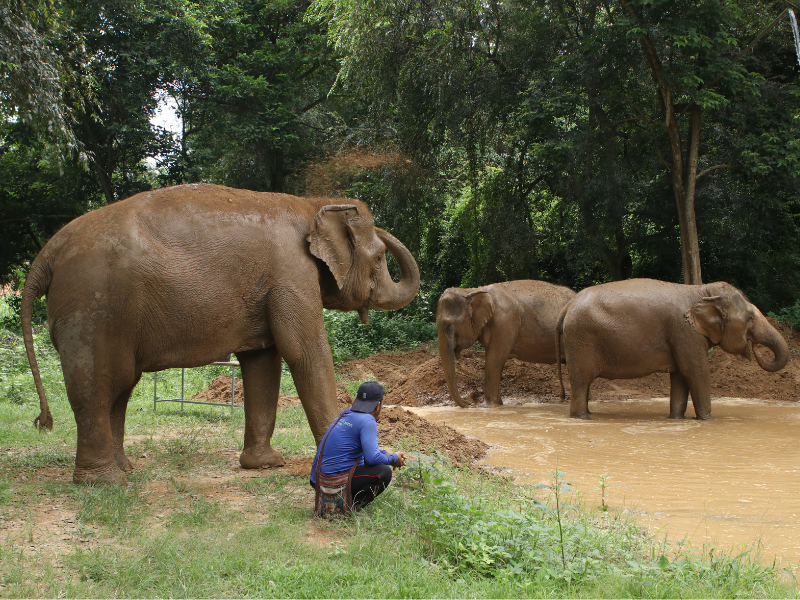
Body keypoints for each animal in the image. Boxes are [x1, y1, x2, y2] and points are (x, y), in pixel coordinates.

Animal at [21, 183, 419, 483]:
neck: (312, 204)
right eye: (380, 256)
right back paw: (105, 481)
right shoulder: (291, 272)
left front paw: (265, 464)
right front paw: (353, 461)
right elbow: (304, 350)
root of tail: (50, 249)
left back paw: (125, 469)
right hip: (92, 306)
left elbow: (263, 360)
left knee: (119, 387)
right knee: (98, 386)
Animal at [437, 280, 576, 407]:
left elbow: (495, 358)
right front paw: (499, 404)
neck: (472, 290)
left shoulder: (504, 322)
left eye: (448, 325)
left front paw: (487, 407)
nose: (470, 403)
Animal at [555, 279, 789, 420]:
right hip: (581, 341)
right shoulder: (684, 332)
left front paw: (676, 419)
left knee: (584, 385)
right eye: (749, 318)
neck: (702, 290)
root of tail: (567, 306)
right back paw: (582, 418)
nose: (754, 347)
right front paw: (708, 420)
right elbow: (696, 371)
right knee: (581, 383)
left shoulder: (682, 338)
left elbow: (680, 376)